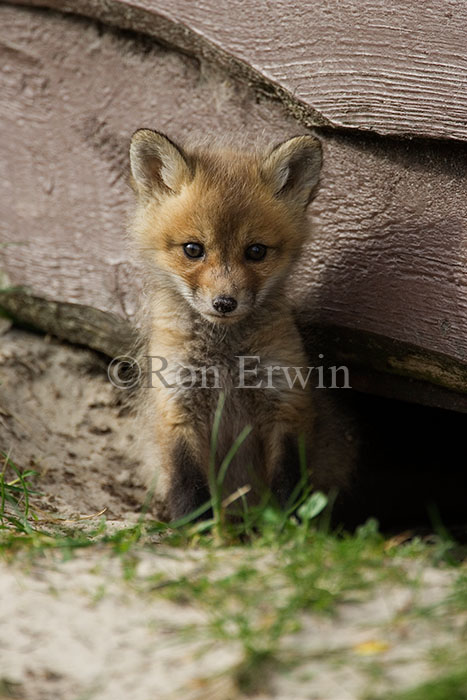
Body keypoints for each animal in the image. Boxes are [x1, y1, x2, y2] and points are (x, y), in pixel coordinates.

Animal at [128, 129, 351, 521]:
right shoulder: (177, 407)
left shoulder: (285, 403)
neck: (225, 360)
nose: (224, 303)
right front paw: (195, 529)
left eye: (256, 251)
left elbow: (287, 481)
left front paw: (288, 527)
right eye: (193, 249)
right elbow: (188, 483)